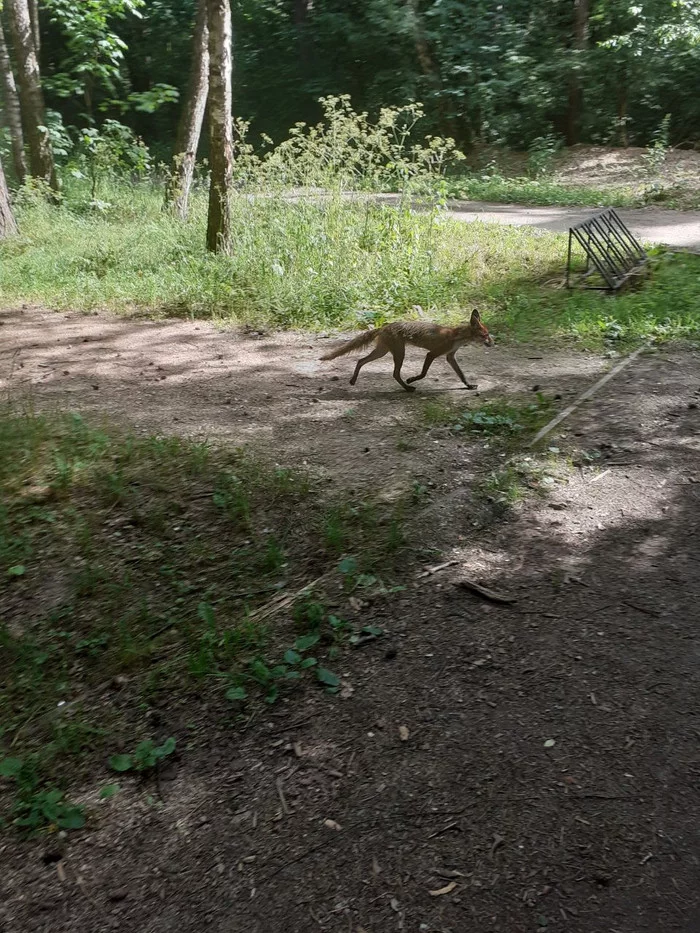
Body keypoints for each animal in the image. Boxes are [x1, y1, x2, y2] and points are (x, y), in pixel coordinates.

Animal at [322, 310, 492, 390]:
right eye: (484, 335)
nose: (492, 343)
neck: (457, 337)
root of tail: (384, 327)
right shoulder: (432, 354)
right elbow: (423, 373)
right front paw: (412, 379)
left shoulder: (450, 356)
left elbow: (461, 374)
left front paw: (469, 386)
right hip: (399, 353)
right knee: (394, 374)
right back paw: (408, 387)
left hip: (383, 352)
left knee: (360, 361)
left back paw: (353, 380)